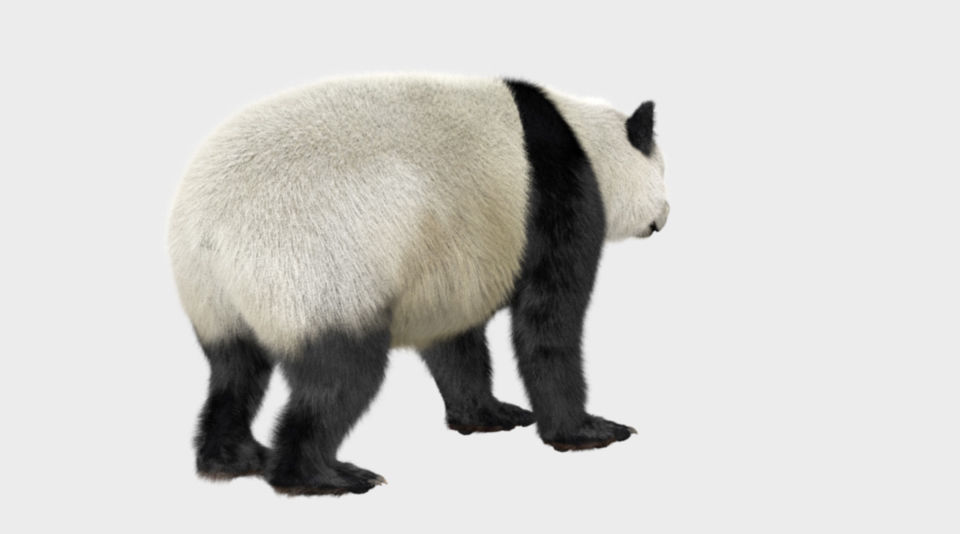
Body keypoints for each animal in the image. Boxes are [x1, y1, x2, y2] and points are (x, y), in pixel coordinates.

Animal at [167, 73, 669, 496]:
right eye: (663, 177)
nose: (663, 218)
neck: (580, 135)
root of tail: (209, 232)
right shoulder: (554, 195)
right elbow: (547, 323)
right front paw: (586, 430)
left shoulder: (454, 256)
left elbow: (453, 334)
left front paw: (488, 415)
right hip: (315, 262)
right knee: (341, 374)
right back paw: (319, 475)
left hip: (214, 297)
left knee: (235, 371)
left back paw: (234, 457)